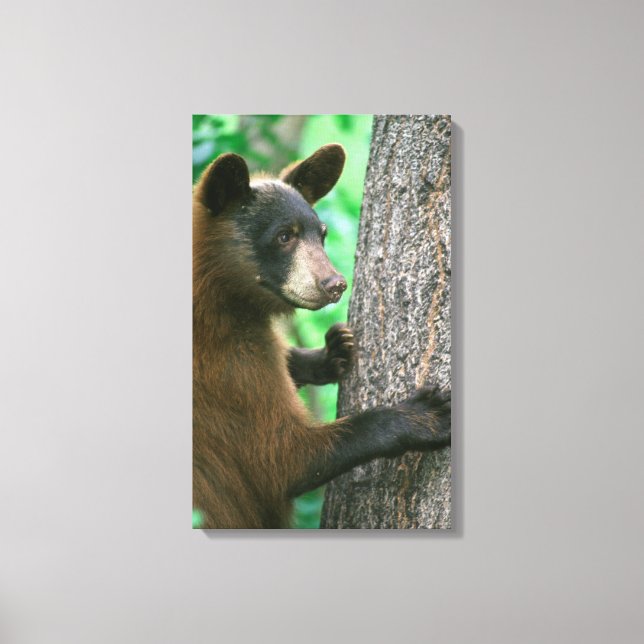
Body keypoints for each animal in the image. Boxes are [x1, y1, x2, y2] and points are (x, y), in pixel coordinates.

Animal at [193, 143, 451, 529]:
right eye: (285, 236)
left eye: (322, 233)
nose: (336, 284)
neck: (221, 298)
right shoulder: (224, 370)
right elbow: (281, 458)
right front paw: (424, 416)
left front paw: (331, 353)